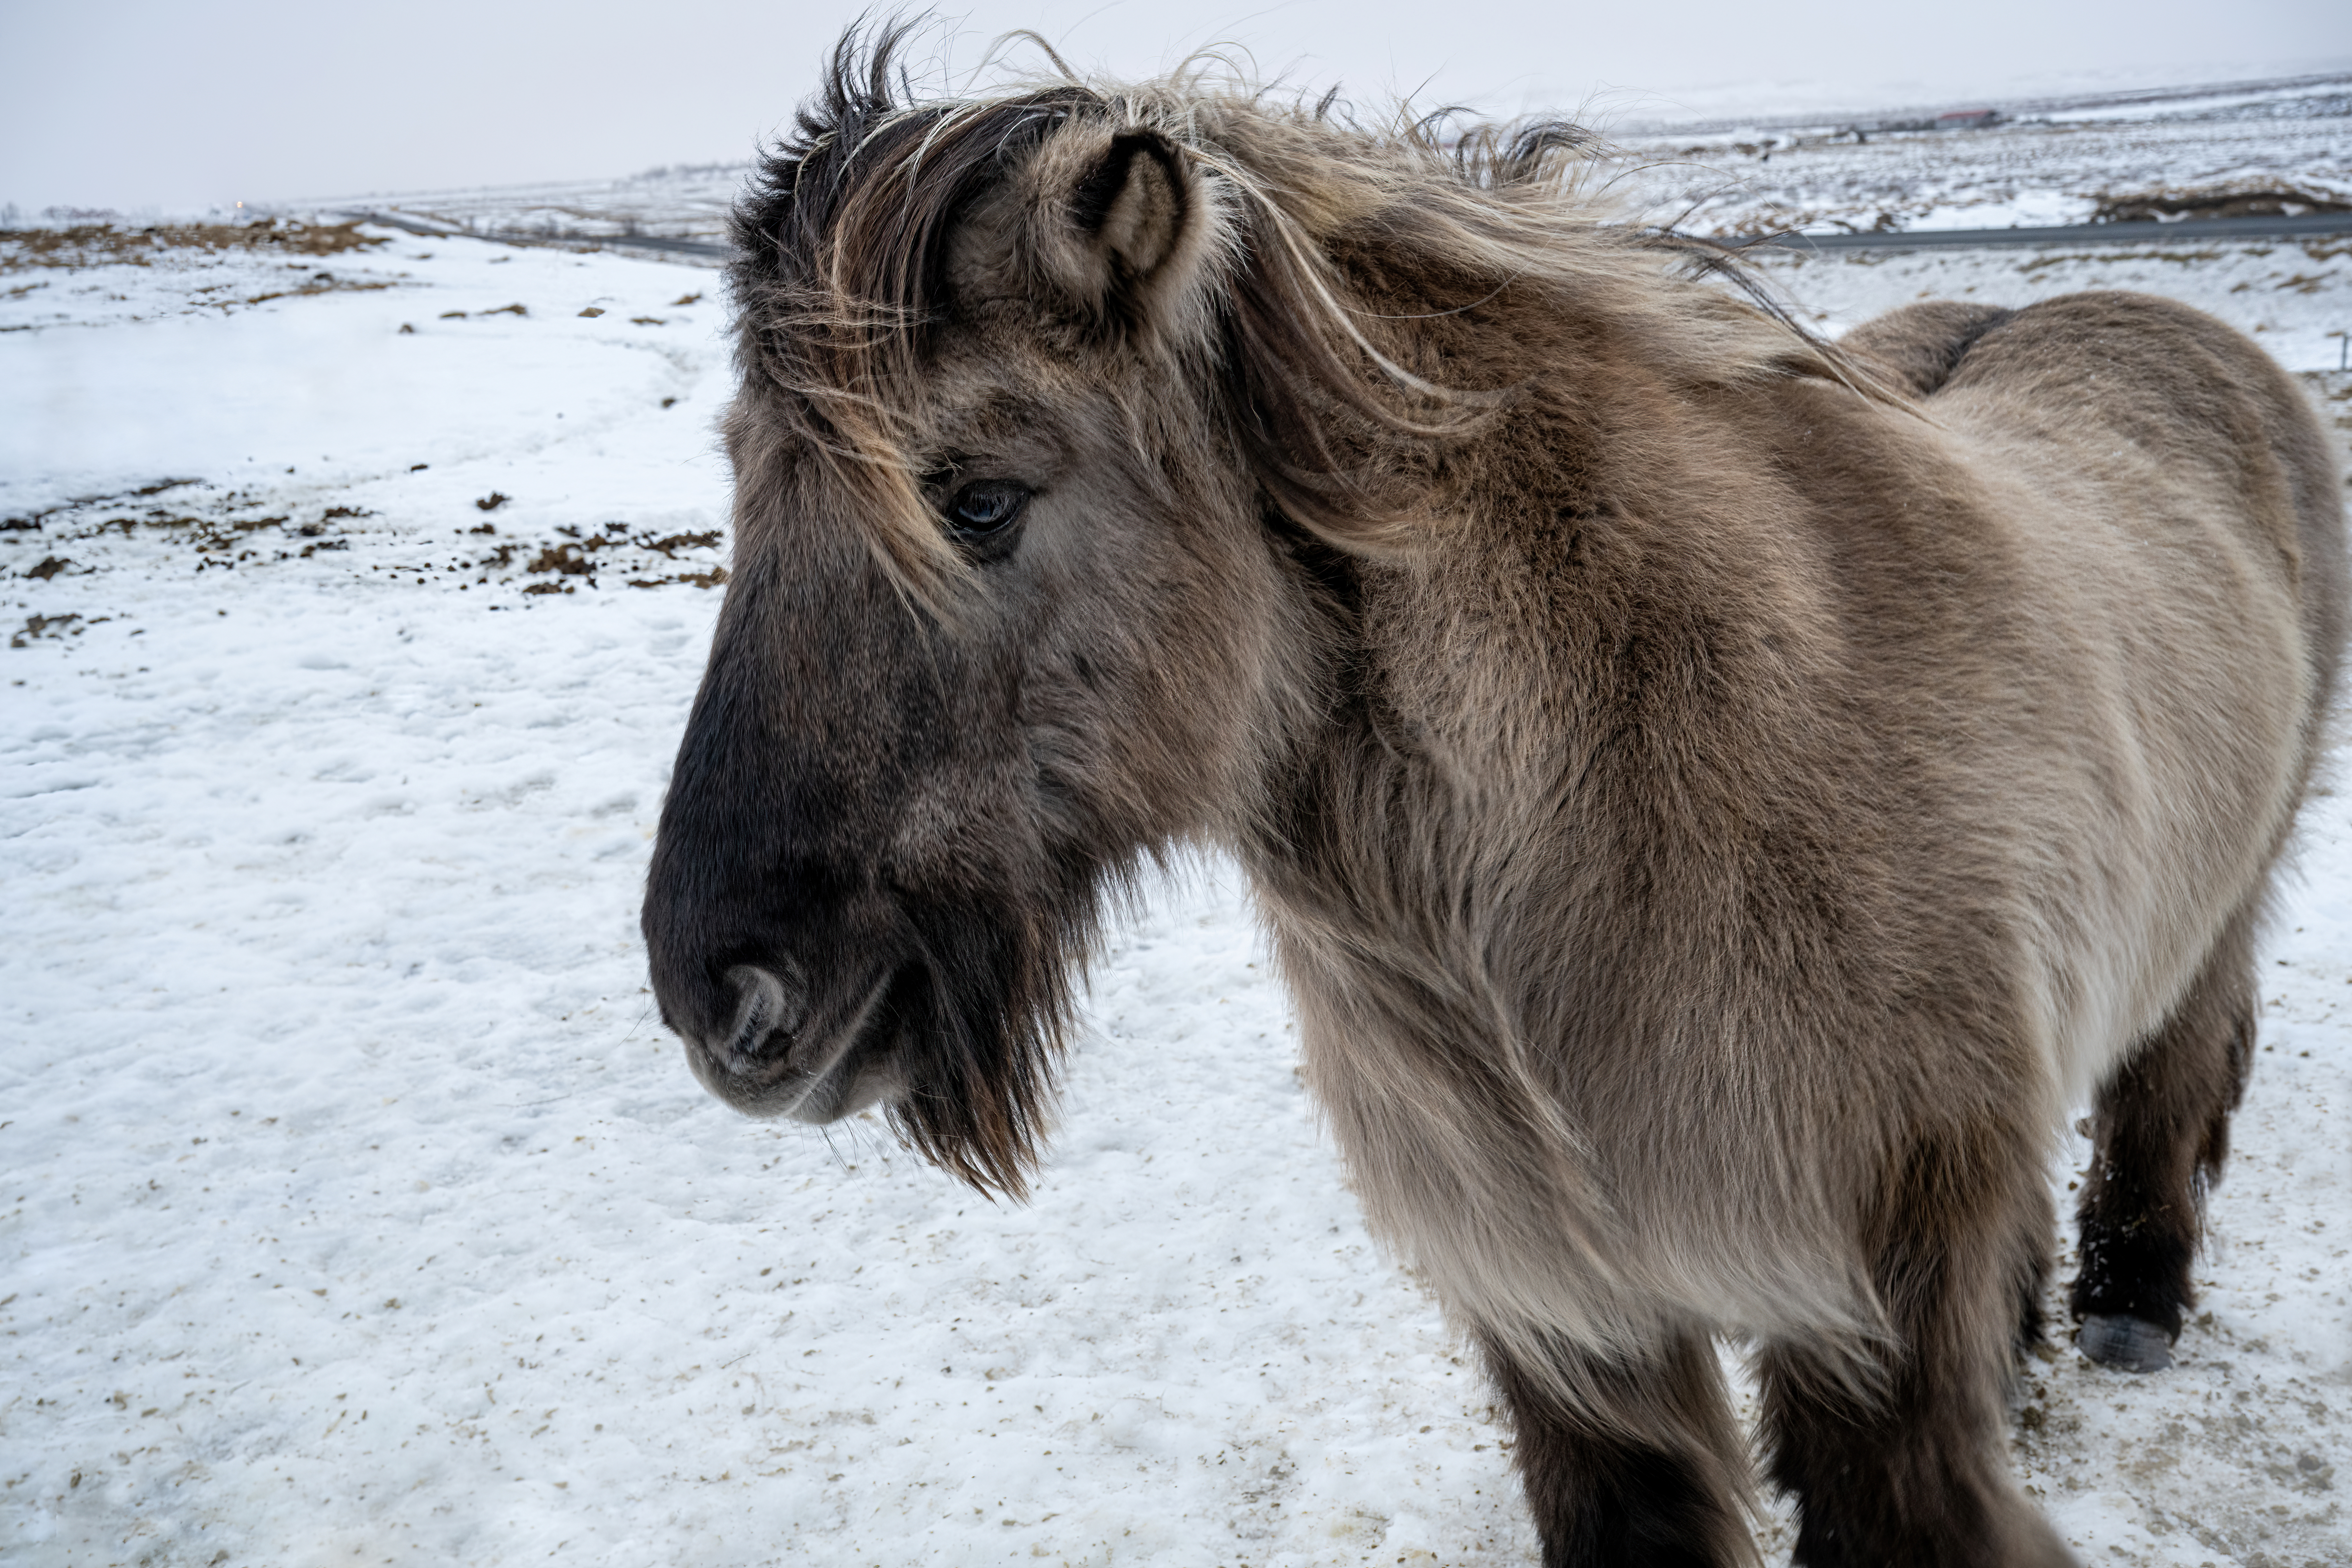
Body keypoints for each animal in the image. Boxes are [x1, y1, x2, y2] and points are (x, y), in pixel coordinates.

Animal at [640, 31, 2346, 1566]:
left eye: (979, 500)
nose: (722, 998)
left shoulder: (1868, 1351)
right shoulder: (1573, 1344)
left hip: (2217, 918)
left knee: (2176, 1068)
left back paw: (2131, 1305)